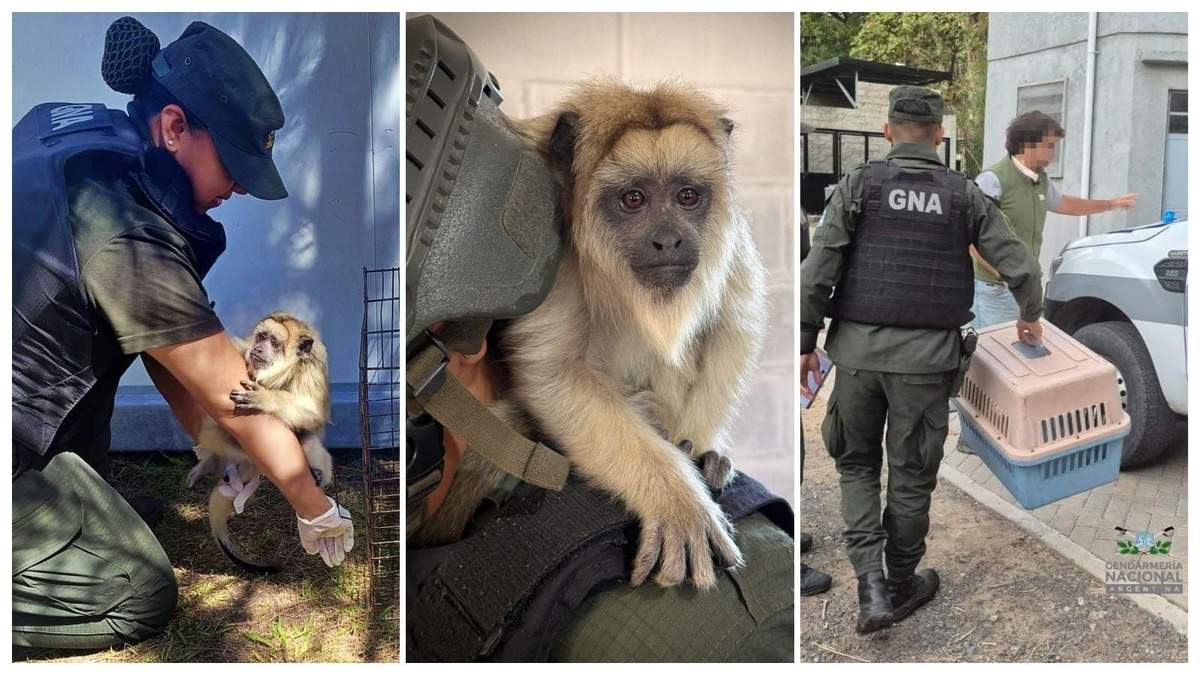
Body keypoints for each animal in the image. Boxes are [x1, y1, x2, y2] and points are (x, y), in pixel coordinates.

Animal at [185, 312, 334, 573]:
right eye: (261, 337)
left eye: (274, 342)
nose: (258, 349)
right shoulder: (240, 348)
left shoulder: (310, 371)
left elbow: (313, 413)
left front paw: (267, 398)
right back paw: (213, 463)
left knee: (305, 436)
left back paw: (314, 472)